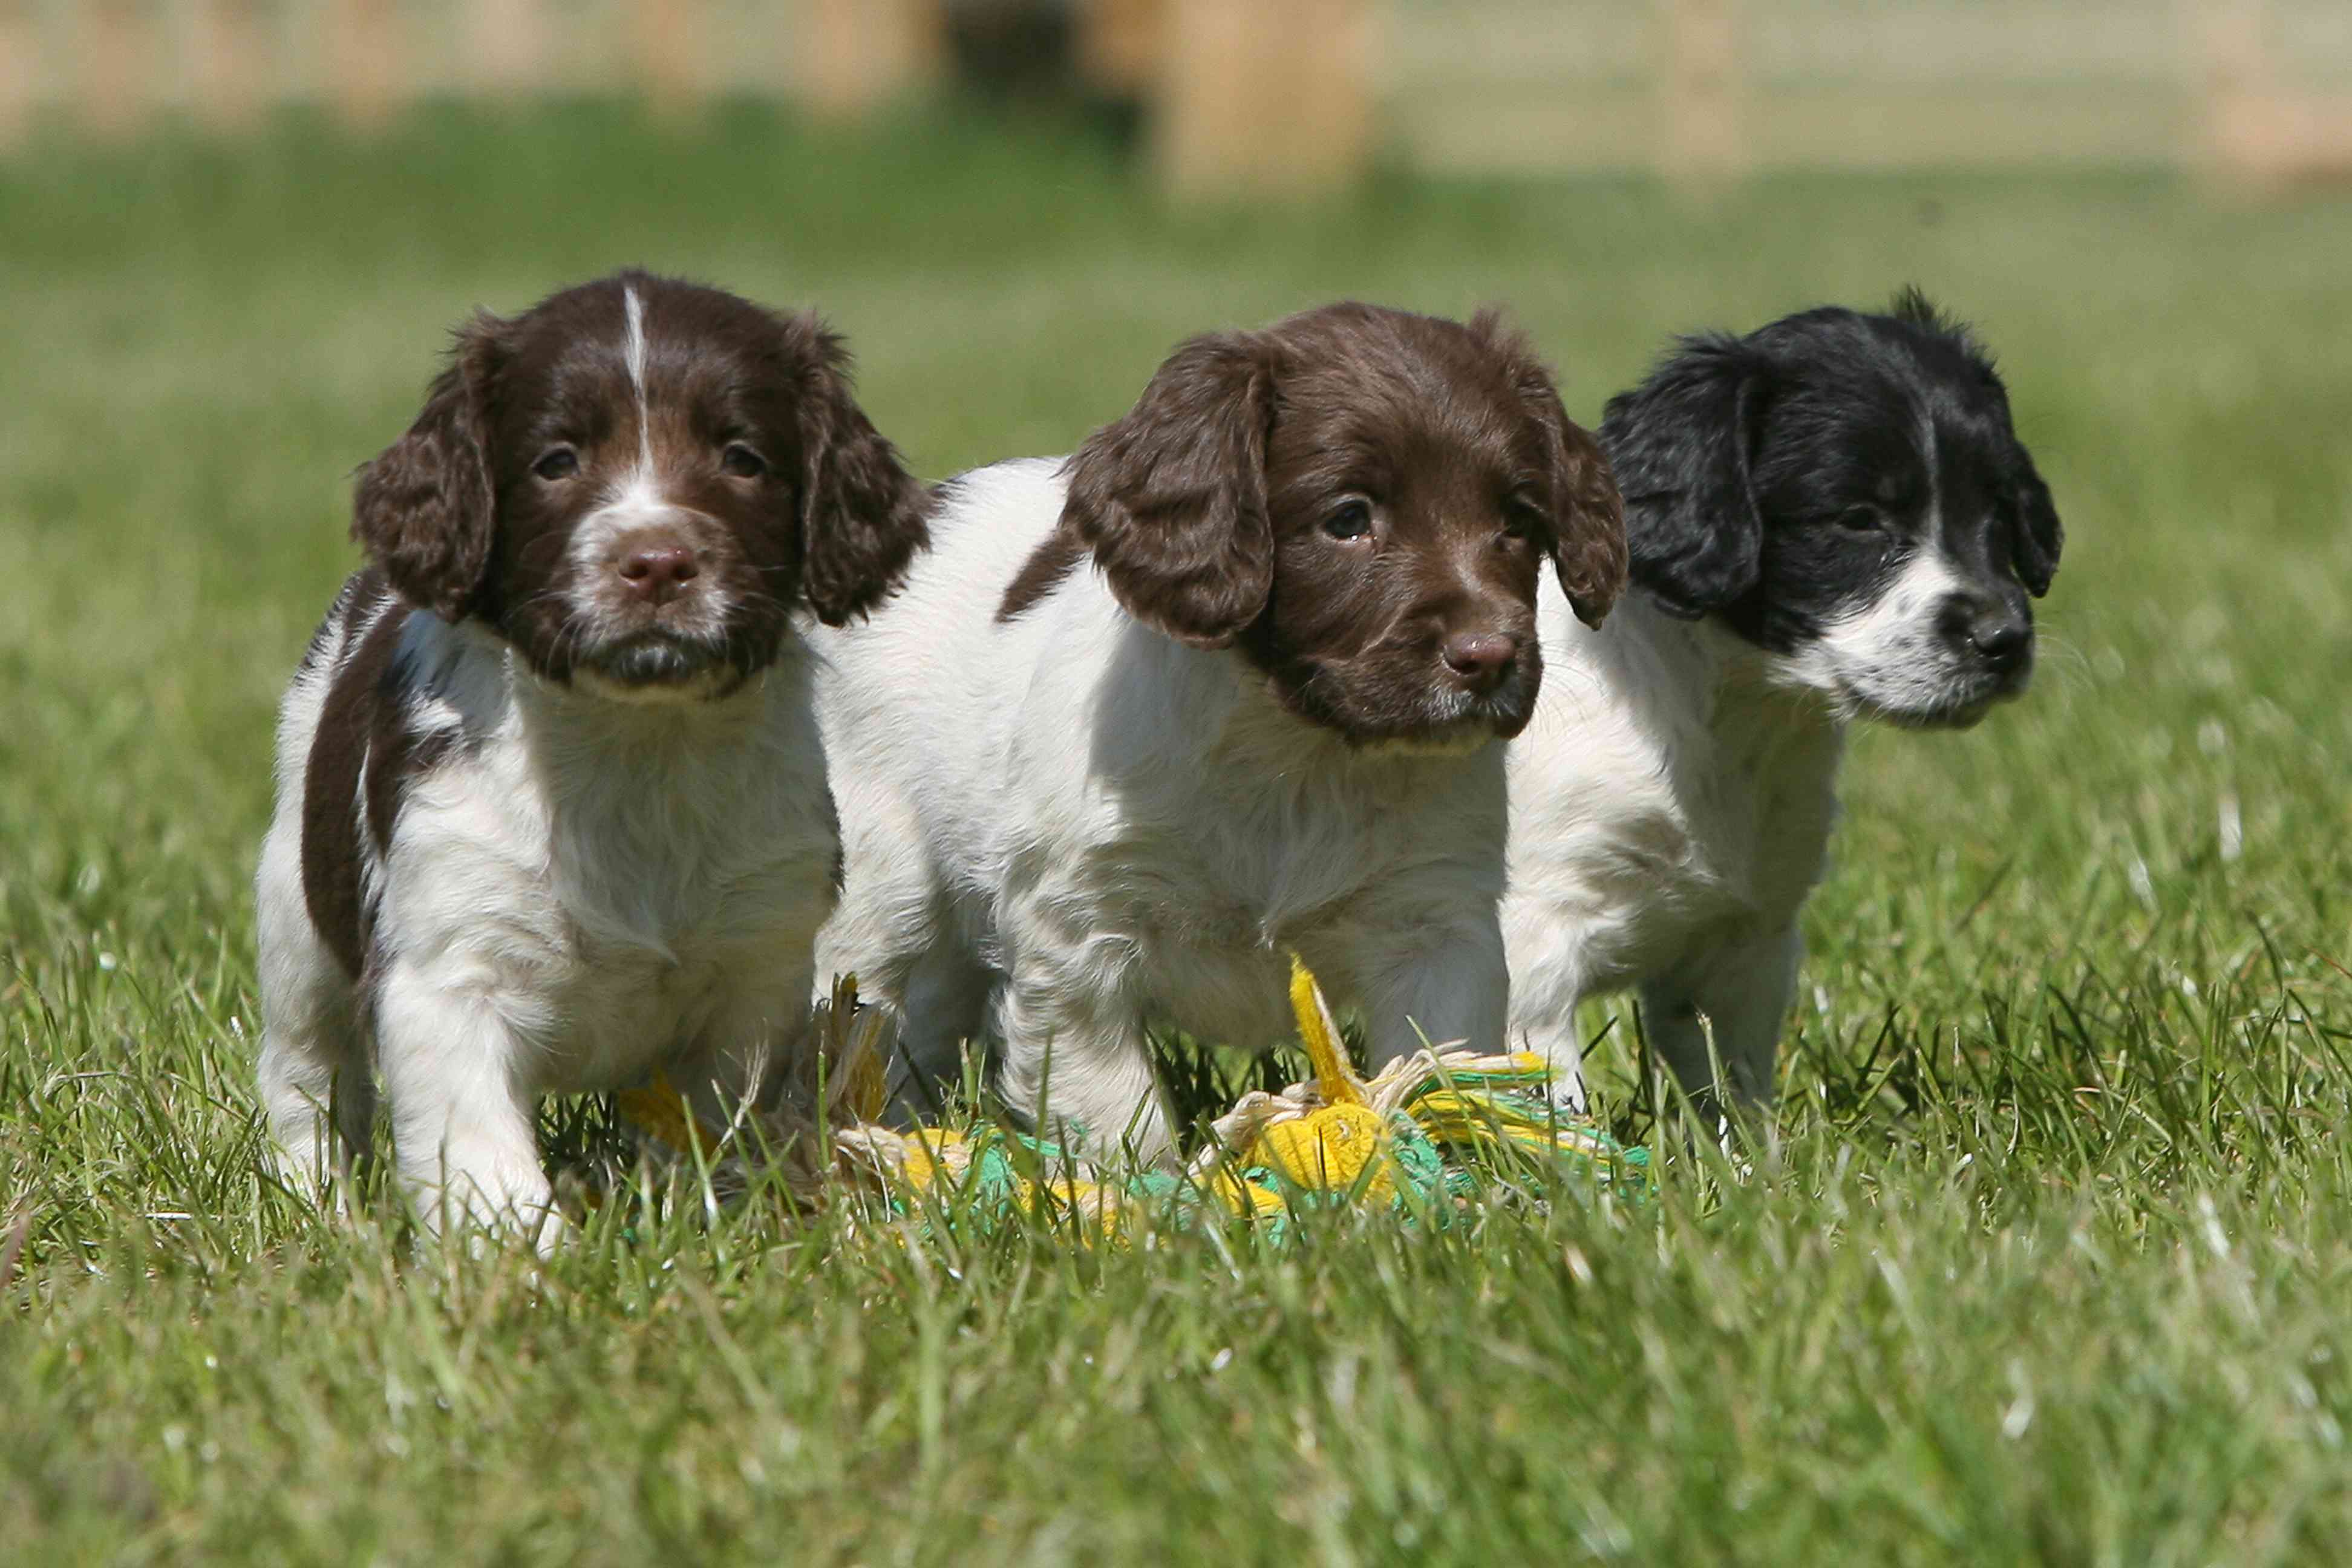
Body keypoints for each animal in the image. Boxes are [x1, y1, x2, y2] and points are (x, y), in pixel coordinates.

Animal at [252, 272, 922, 1250]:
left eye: (743, 459)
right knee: (307, 1074)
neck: (634, 745)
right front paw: (522, 1259)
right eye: (556, 461)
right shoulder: (447, 966)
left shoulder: (755, 972)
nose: (658, 564)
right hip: (296, 916)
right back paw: (317, 1207)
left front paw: (702, 1222)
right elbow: (479, 1152)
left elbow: (712, 1128)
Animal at [818, 303, 1627, 1166]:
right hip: (884, 888)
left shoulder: (1436, 920)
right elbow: (1116, 1108)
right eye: (1348, 519)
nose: (1488, 657)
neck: (1296, 754)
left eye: (1517, 521)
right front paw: (1146, 1192)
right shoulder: (1078, 936)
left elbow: (1435, 1069)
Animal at [1505, 291, 2060, 1114]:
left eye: (1996, 510)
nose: (2004, 640)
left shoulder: (1744, 943)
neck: (1727, 718)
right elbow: (1547, 1116)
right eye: (1856, 518)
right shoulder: (1528, 951)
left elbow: (1733, 1096)